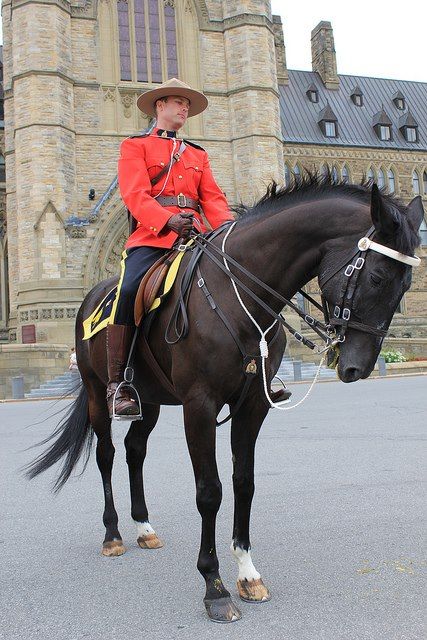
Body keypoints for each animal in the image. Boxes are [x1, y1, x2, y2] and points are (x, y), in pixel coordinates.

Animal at [27, 175, 424, 620]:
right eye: (376, 277)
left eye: (407, 284)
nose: (358, 366)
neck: (241, 295)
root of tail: (94, 293)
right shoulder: (199, 405)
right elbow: (209, 491)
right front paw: (213, 585)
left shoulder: (253, 405)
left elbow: (244, 483)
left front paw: (247, 572)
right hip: (99, 393)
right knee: (107, 454)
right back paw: (112, 533)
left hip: (150, 399)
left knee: (134, 451)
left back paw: (143, 527)